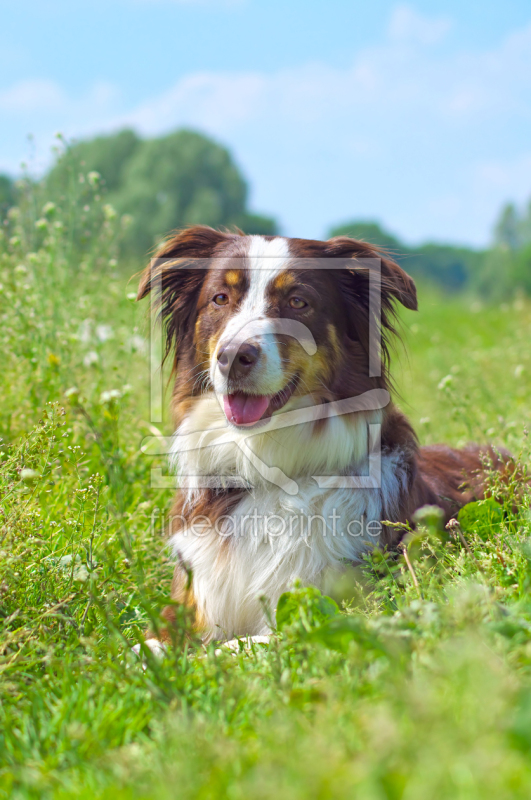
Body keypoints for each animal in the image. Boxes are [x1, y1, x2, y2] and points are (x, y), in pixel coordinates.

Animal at [137, 225, 508, 648]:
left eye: (298, 302)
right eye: (220, 298)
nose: (232, 358)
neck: (266, 471)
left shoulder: (332, 611)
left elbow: (230, 647)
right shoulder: (185, 607)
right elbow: (144, 648)